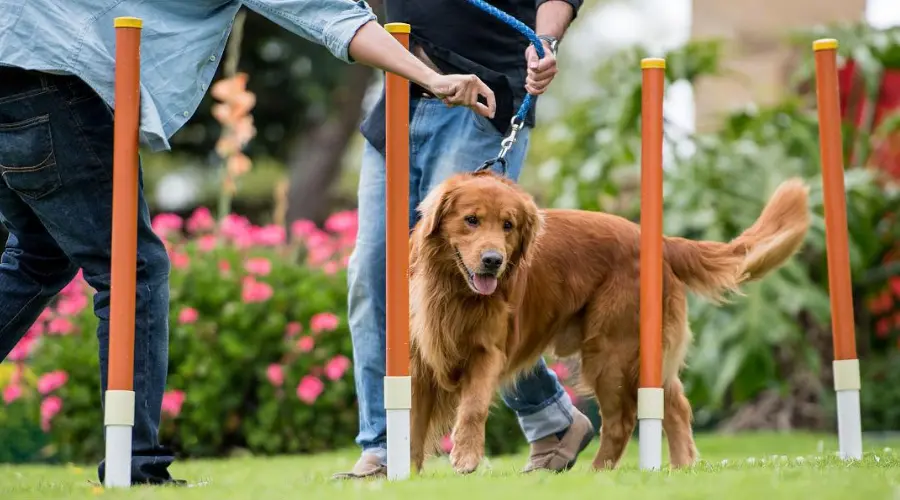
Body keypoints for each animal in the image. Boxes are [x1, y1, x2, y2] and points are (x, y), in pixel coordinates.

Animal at [408, 170, 808, 474]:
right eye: (471, 220)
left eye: (508, 225)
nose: (493, 260)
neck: (453, 290)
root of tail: (661, 242)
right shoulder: (420, 362)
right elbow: (413, 420)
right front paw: (406, 475)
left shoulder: (488, 351)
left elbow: (473, 407)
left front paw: (466, 457)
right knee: (675, 404)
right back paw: (682, 467)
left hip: (610, 353)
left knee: (623, 420)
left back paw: (599, 472)